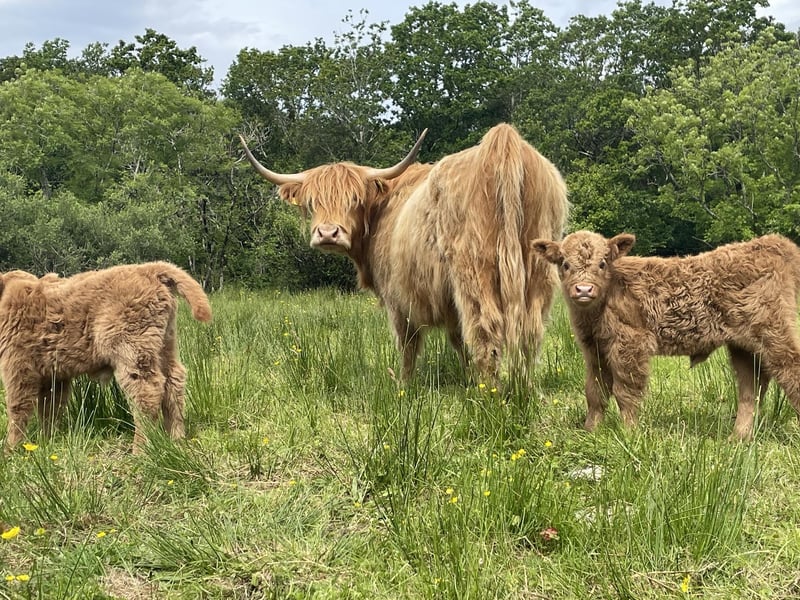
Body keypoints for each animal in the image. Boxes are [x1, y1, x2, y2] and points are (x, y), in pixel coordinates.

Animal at [240, 124, 569, 384]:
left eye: (354, 199)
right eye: (313, 202)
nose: (328, 233)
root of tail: (502, 143)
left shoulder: (398, 298)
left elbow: (409, 345)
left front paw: (405, 386)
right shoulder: (448, 305)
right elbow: (457, 340)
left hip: (474, 271)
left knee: (486, 333)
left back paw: (489, 396)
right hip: (537, 270)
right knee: (529, 333)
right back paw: (523, 390)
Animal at [532, 230, 800, 439]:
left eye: (602, 263)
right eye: (565, 264)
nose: (584, 289)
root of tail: (771, 243)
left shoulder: (630, 345)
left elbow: (625, 391)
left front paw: (628, 434)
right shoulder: (594, 350)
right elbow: (595, 392)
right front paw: (590, 431)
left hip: (775, 333)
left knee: (789, 371)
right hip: (743, 345)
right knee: (750, 389)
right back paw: (738, 438)